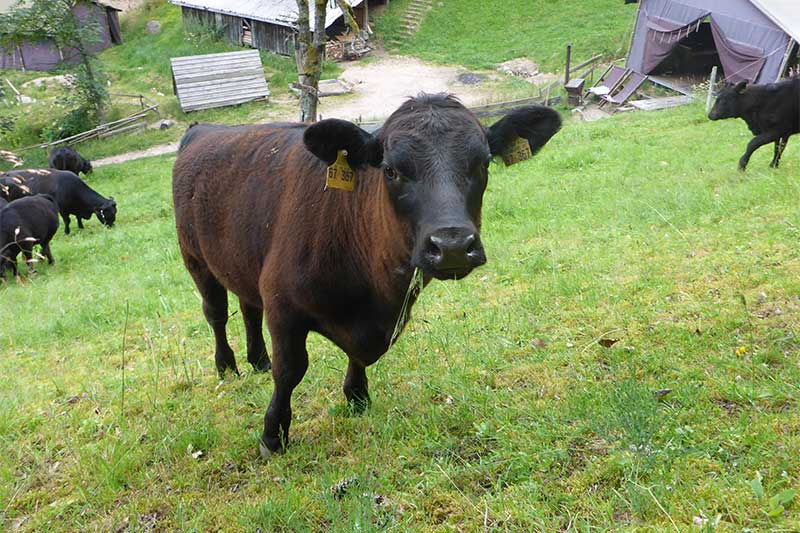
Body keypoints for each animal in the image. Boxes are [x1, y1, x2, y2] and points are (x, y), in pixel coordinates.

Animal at [173, 92, 564, 458]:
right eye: (390, 170)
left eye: (483, 163)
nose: (452, 244)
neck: (372, 291)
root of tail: (204, 128)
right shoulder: (283, 304)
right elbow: (289, 371)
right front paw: (273, 435)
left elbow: (356, 355)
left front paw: (357, 397)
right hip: (195, 258)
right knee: (217, 314)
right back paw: (227, 366)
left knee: (249, 308)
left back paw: (257, 360)